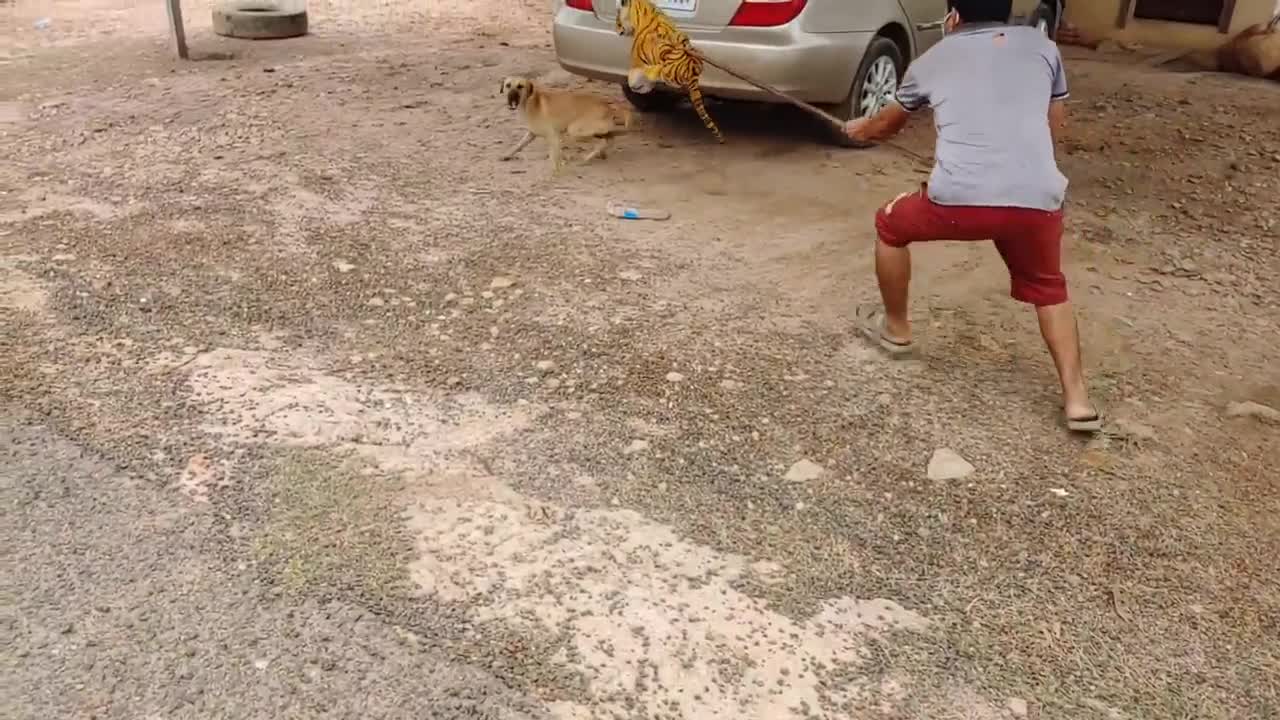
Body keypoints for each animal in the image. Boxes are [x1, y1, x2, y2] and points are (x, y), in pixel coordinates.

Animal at [496, 75, 632, 175]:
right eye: (508, 85)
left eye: (520, 86)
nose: (511, 99)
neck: (530, 103)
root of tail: (608, 107)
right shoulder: (531, 134)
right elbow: (517, 146)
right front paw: (506, 155)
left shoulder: (553, 136)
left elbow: (554, 157)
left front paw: (554, 173)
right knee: (609, 139)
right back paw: (601, 154)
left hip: (575, 131)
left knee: (604, 142)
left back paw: (587, 157)